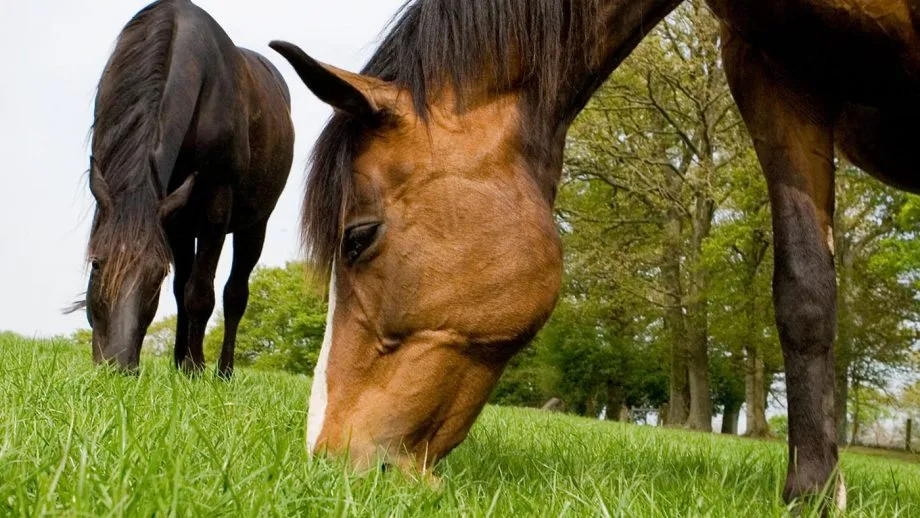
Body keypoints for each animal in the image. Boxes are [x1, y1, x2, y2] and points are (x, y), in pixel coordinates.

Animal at [76, 0, 294, 378]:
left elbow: (200, 293)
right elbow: (181, 289)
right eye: (97, 264)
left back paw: (221, 370)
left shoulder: (216, 205)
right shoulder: (171, 215)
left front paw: (194, 368)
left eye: (155, 274)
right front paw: (182, 363)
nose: (117, 367)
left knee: (235, 293)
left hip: (254, 226)